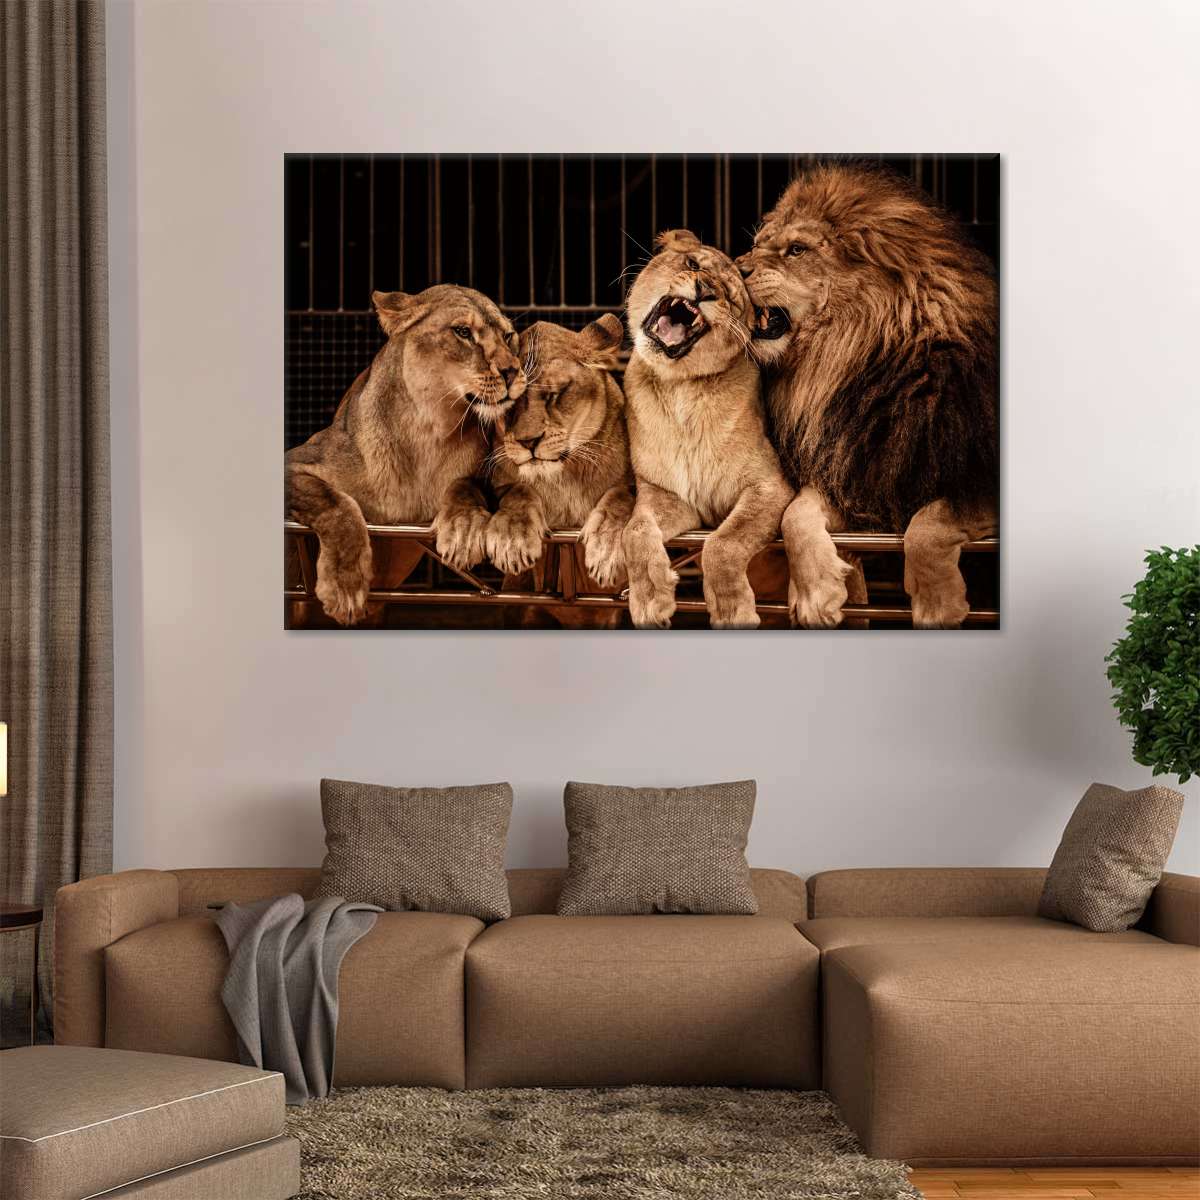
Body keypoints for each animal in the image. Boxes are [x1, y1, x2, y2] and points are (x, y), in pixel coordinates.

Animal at [285, 284, 525, 626]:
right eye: (463, 332)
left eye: (508, 336)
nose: (512, 371)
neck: (428, 431)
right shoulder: (296, 462)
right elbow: (335, 503)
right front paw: (344, 587)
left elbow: (466, 485)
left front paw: (463, 530)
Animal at [486, 314, 634, 590]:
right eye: (509, 405)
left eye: (554, 395)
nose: (528, 442)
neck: (562, 477)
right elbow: (517, 491)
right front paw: (512, 539)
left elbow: (621, 496)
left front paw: (606, 548)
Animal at [621, 230, 794, 629]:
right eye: (692, 264)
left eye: (730, 298)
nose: (704, 291)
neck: (680, 388)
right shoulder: (667, 495)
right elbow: (634, 531)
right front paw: (650, 599)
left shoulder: (770, 487)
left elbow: (724, 542)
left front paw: (732, 609)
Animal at [736, 163, 998, 629]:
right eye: (756, 245)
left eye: (796, 249)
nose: (735, 266)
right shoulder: (857, 470)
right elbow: (795, 514)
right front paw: (815, 594)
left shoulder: (975, 475)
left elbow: (930, 521)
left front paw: (937, 604)